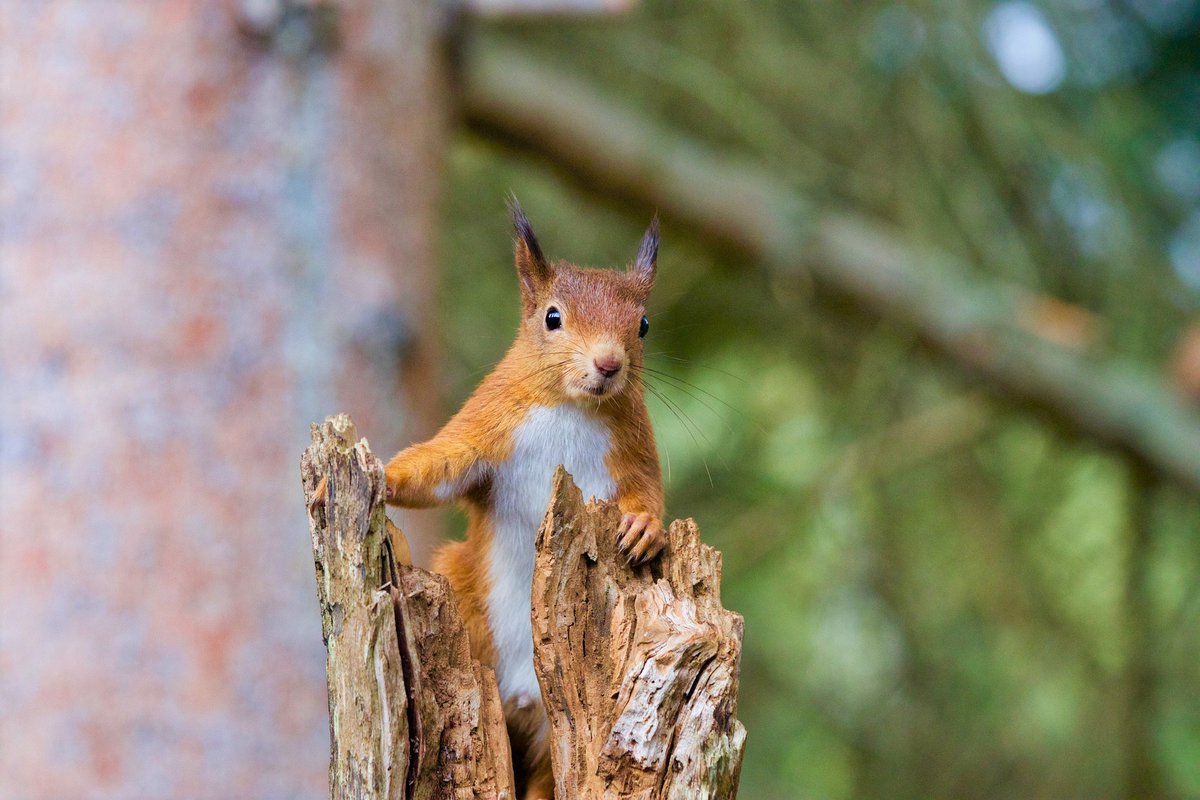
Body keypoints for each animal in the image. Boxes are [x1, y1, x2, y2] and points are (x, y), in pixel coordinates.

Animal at [319, 203, 667, 796]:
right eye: (552, 317)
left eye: (643, 325)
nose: (609, 364)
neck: (570, 407)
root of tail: (524, 699)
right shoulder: (486, 428)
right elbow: (439, 467)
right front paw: (379, 475)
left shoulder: (635, 450)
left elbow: (649, 491)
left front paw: (645, 528)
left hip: (554, 733)